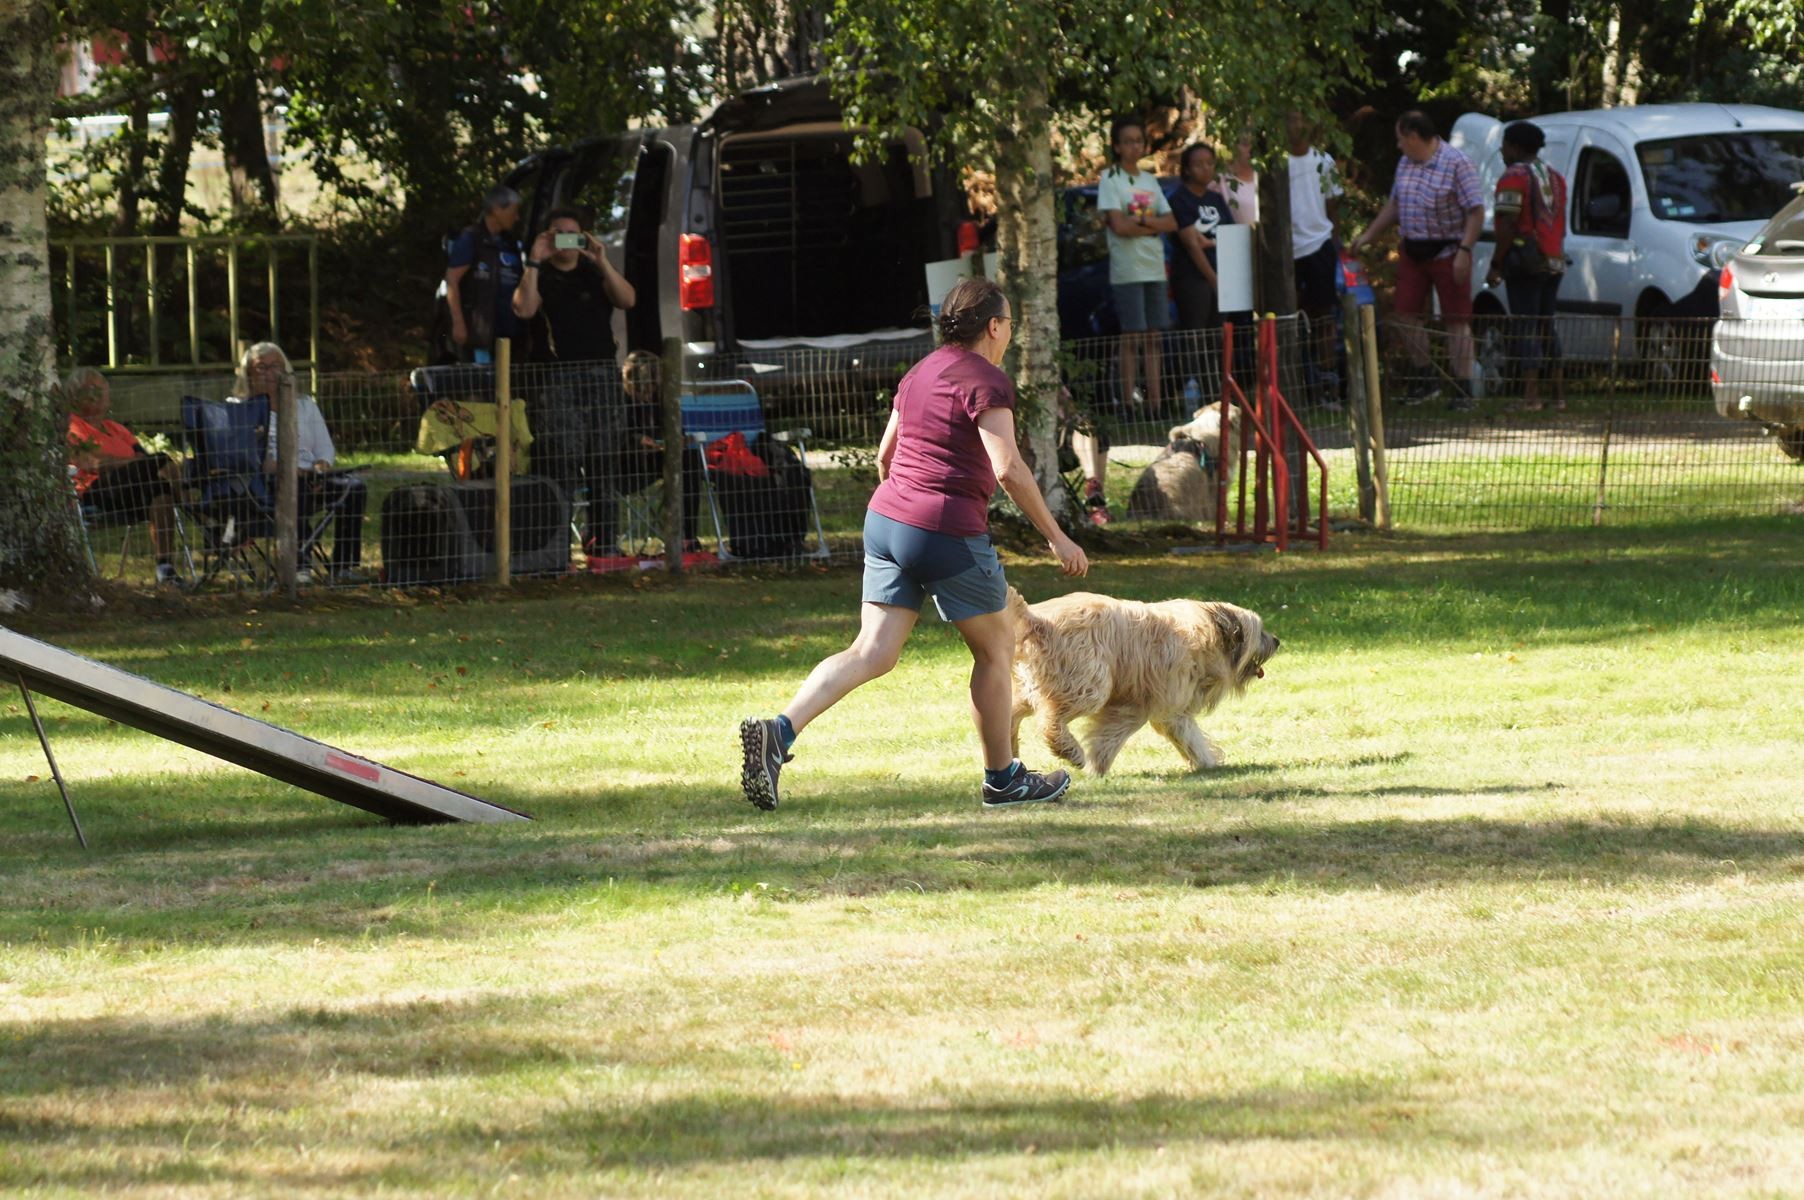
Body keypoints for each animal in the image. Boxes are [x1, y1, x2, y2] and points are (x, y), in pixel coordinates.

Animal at [1010, 588, 1277, 775]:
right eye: (1260, 632)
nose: (1277, 641)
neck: (1207, 634)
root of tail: (1037, 621)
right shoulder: (1135, 704)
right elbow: (1111, 736)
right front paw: (1097, 767)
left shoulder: (1173, 708)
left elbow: (1189, 735)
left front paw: (1206, 762)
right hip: (1087, 683)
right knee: (1050, 720)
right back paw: (1070, 751)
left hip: (1038, 684)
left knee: (1012, 713)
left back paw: (1013, 750)